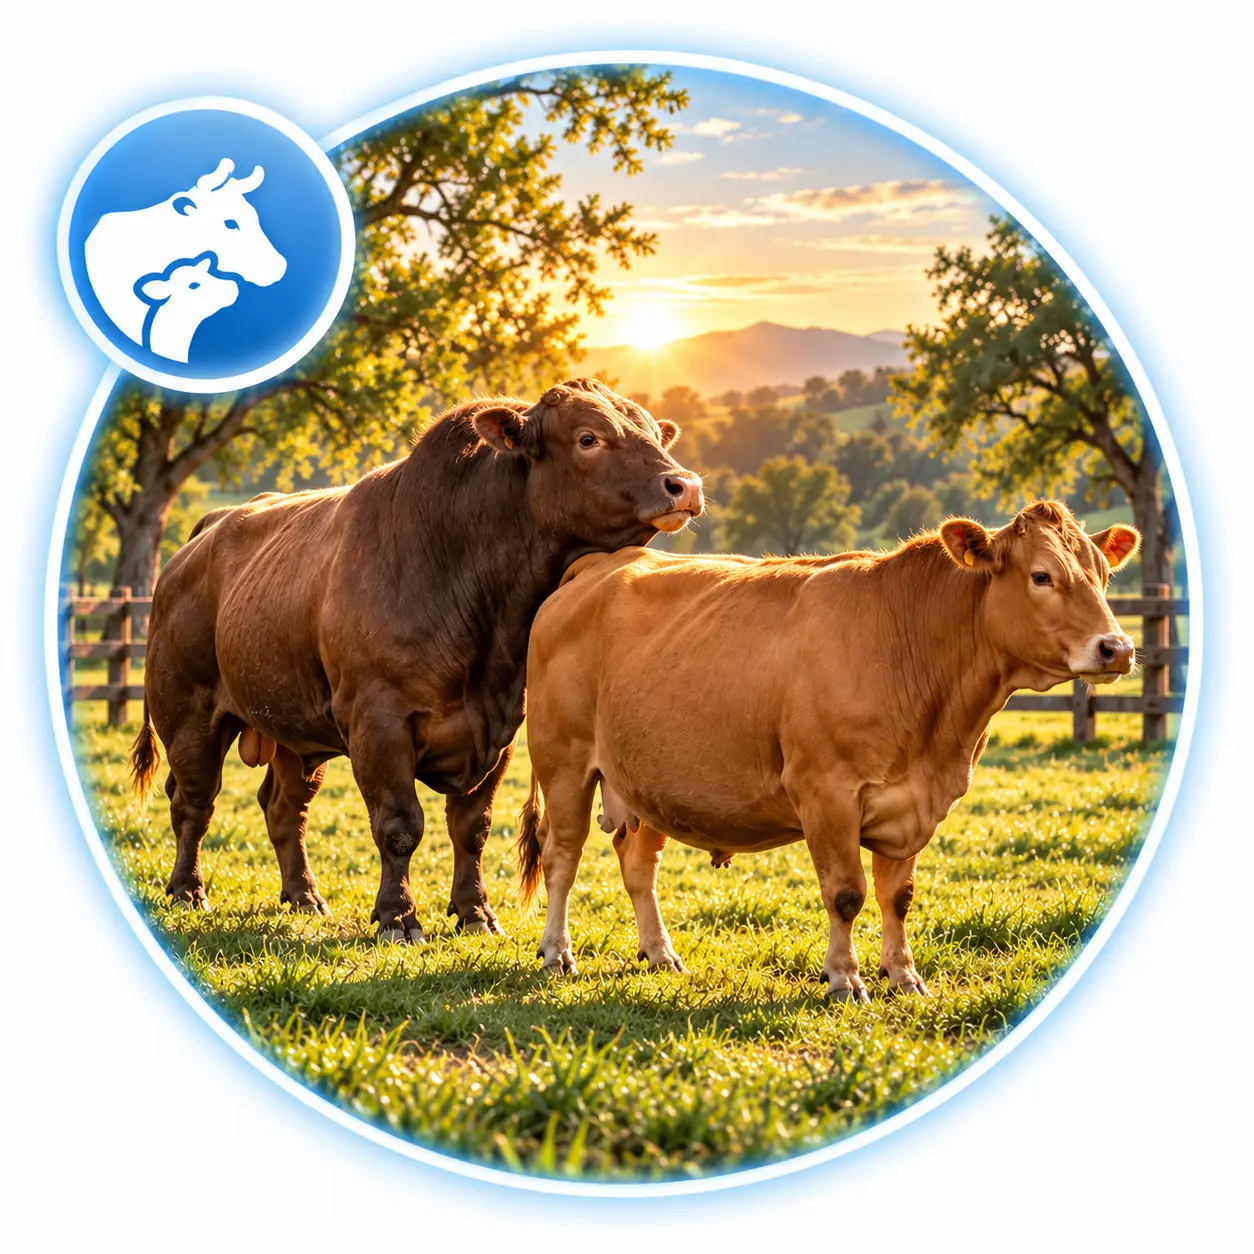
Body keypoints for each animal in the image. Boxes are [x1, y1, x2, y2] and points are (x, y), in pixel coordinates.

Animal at [129, 379, 704, 942]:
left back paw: (304, 895)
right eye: (588, 438)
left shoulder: (500, 730)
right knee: (193, 801)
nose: (684, 485)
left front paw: (475, 912)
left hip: (292, 726)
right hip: (189, 714)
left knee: (284, 807)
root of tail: (209, 530)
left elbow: (472, 827)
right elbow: (399, 826)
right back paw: (188, 889)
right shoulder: (377, 721)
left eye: (655, 433)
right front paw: (398, 916)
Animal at [516, 501, 1140, 1000]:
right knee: (562, 856)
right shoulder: (827, 792)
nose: (1117, 648)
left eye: (1104, 575)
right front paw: (845, 979)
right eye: (1041, 576)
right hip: (564, 760)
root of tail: (601, 565)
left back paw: (661, 953)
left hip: (650, 779)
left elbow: (898, 896)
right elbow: (846, 894)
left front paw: (904, 975)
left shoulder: (916, 801)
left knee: (637, 863)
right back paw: (557, 953)